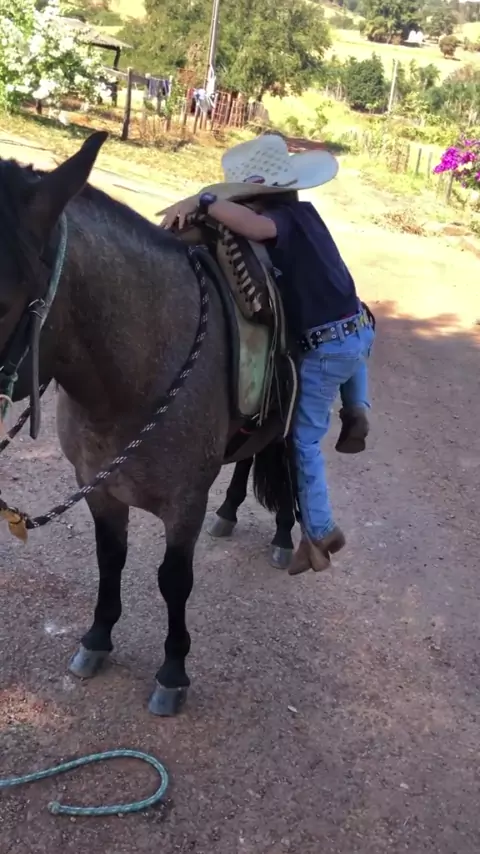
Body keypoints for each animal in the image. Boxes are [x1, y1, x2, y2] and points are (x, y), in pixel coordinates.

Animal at [0, 131, 294, 717]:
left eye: (1, 302)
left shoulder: (184, 503)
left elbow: (173, 580)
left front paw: (173, 671)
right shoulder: (98, 488)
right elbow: (110, 558)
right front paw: (96, 640)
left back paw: (283, 534)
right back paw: (230, 512)